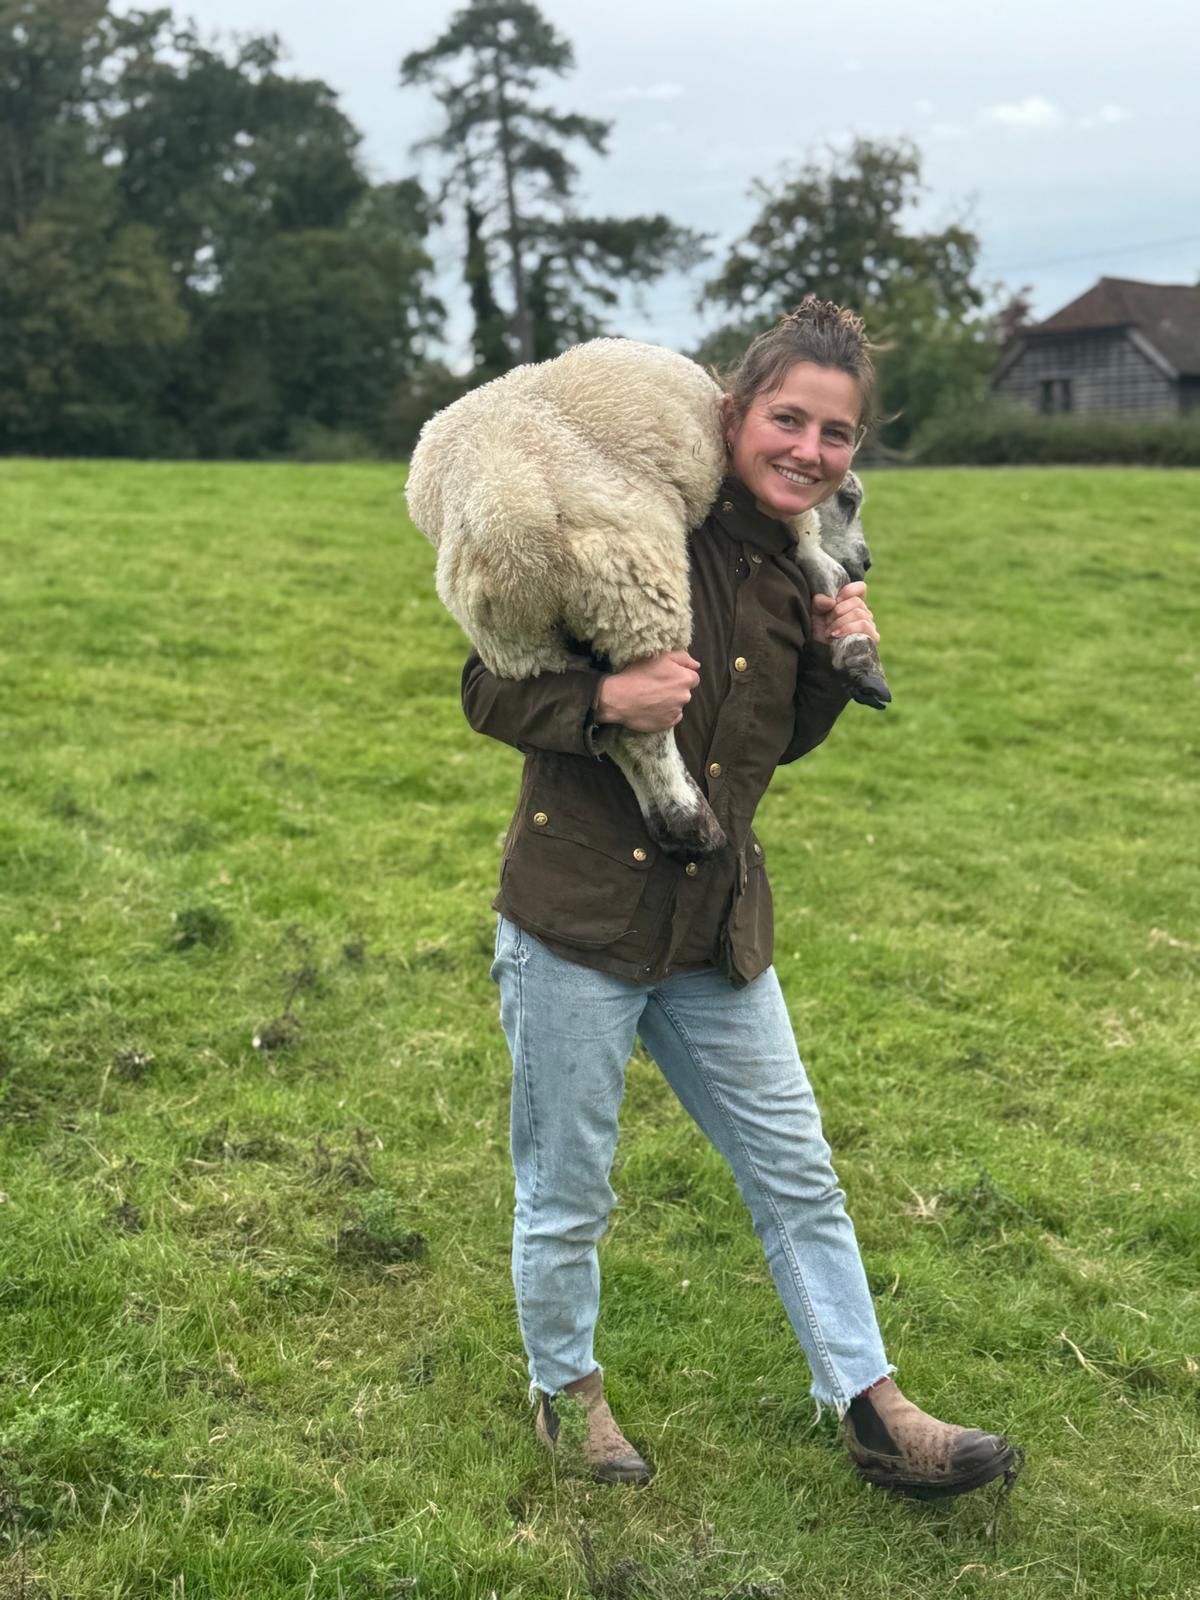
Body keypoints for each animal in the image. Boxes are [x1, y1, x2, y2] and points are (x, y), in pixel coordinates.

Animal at [405, 337, 889, 863]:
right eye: (848, 500)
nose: (867, 561)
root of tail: (509, 520)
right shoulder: (798, 523)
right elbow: (825, 569)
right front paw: (863, 660)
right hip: (633, 585)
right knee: (643, 731)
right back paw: (690, 823)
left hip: (519, 642)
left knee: (608, 725)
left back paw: (673, 823)